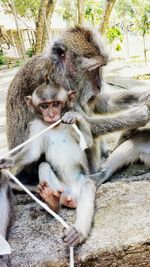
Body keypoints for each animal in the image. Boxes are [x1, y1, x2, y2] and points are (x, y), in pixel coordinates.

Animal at [0, 77, 95, 247]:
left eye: (56, 104)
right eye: (44, 106)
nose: (50, 115)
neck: (54, 126)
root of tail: (70, 197)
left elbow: (87, 141)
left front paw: (73, 116)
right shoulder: (36, 125)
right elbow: (33, 152)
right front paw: (8, 161)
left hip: (80, 186)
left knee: (88, 188)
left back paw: (77, 233)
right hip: (60, 189)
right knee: (44, 166)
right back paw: (52, 201)